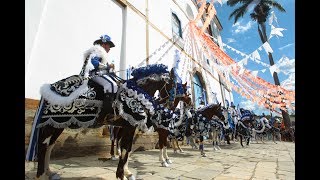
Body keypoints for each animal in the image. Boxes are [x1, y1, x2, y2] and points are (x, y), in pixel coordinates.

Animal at [26, 63, 172, 180]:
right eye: (171, 84)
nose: (169, 106)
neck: (136, 92)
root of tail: (49, 87)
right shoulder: (130, 126)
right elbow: (126, 149)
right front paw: (122, 175)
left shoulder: (130, 127)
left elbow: (127, 149)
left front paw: (126, 173)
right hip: (51, 124)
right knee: (43, 145)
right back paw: (41, 175)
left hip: (57, 125)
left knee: (50, 145)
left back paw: (49, 172)